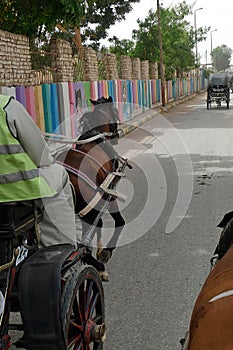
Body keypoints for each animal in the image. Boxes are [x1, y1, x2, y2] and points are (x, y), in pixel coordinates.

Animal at [55, 97, 131, 274]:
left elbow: (100, 223)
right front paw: (105, 252)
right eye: (115, 111)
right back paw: (98, 267)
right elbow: (119, 222)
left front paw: (100, 249)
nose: (116, 136)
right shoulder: (109, 191)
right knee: (81, 246)